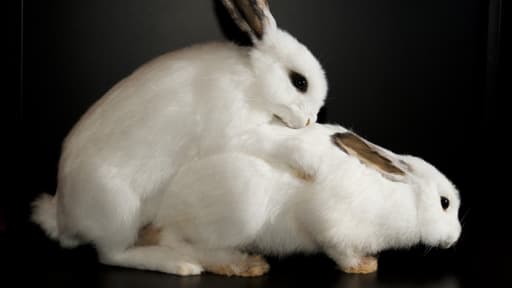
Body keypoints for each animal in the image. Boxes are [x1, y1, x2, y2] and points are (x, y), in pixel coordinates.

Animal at [32, 0, 328, 266]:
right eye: (299, 81)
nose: (310, 120)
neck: (254, 81)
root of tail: (62, 218)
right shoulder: (233, 132)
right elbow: (273, 139)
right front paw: (310, 162)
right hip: (118, 210)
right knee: (112, 255)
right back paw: (179, 263)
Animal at [103, 122, 460, 276]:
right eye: (444, 202)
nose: (455, 238)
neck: (396, 194)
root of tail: (162, 211)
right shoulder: (328, 224)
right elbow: (339, 251)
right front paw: (364, 266)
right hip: (237, 212)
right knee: (182, 246)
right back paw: (242, 264)